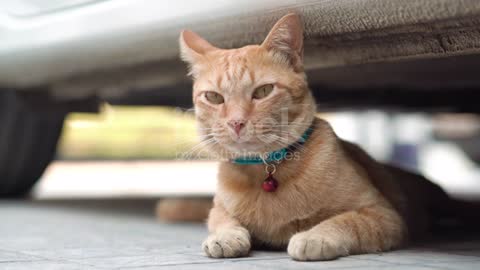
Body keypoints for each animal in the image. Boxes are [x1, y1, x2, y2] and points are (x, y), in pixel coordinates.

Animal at [175, 13, 450, 262]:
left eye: (263, 91)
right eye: (214, 97)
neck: (264, 172)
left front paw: (314, 237)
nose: (236, 122)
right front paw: (225, 237)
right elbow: (222, 219)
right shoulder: (219, 208)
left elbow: (346, 221)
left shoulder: (383, 214)